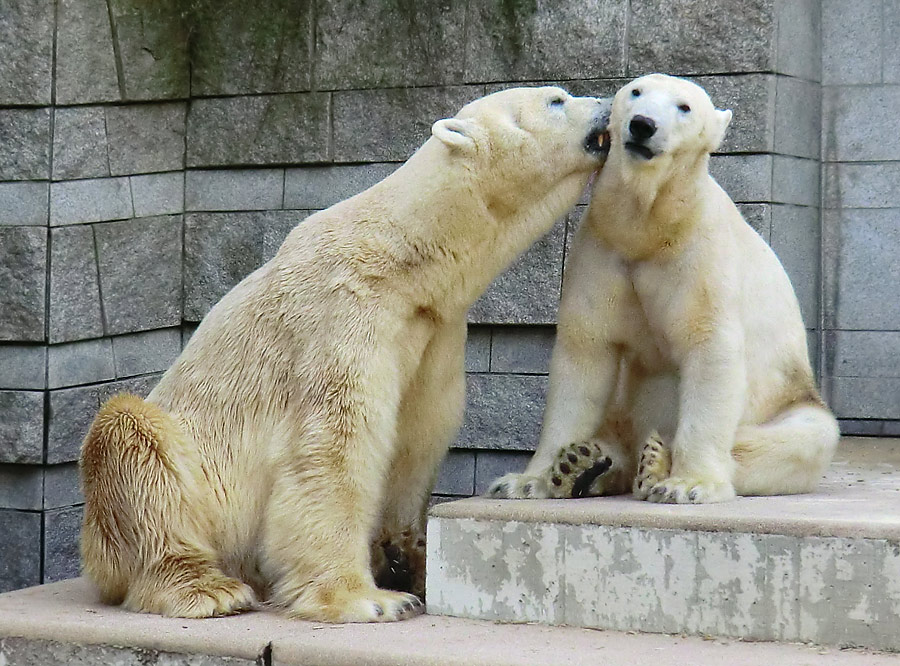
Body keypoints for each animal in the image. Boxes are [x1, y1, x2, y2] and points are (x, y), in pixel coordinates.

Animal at [79, 85, 612, 620]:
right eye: (557, 100)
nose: (609, 104)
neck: (407, 259)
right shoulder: (342, 314)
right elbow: (335, 445)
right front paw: (371, 598)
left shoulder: (434, 335)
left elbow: (416, 441)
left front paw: (407, 559)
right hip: (178, 472)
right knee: (133, 444)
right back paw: (208, 588)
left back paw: (576, 470)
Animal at [488, 74, 840, 504]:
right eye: (636, 92)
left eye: (684, 107)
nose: (643, 124)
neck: (650, 229)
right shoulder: (604, 252)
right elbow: (584, 357)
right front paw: (526, 481)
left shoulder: (699, 257)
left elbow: (710, 350)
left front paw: (688, 485)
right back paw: (583, 464)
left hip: (793, 400)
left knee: (798, 439)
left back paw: (653, 460)